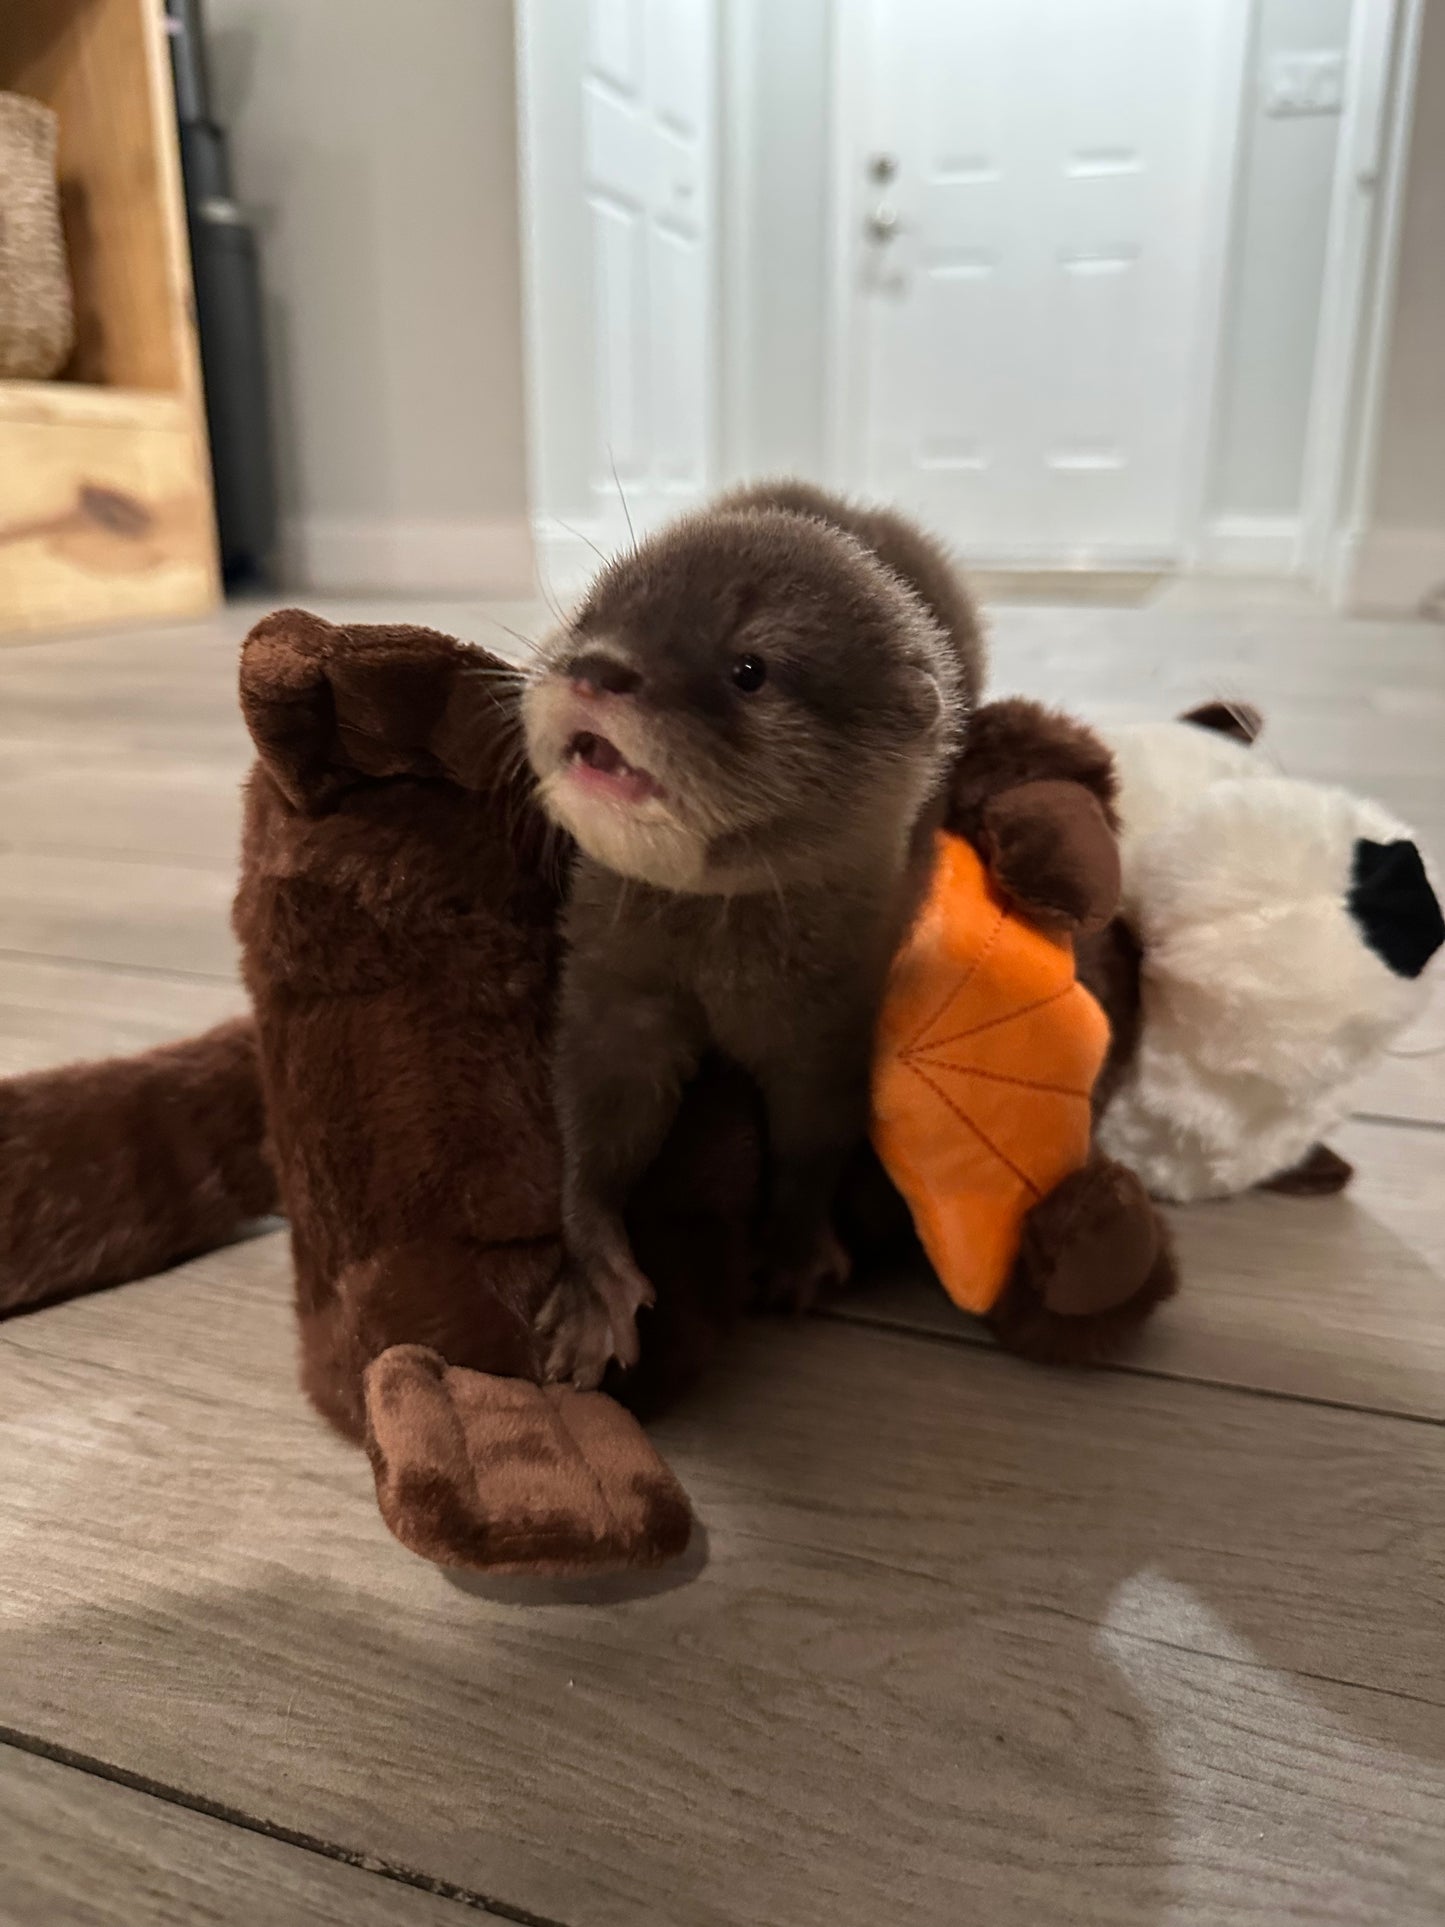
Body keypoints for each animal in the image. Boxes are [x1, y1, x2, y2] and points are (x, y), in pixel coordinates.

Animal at [521, 481, 985, 1388]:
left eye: (748, 670)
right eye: (592, 613)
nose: (595, 668)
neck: (719, 970)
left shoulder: (829, 1022)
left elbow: (815, 1138)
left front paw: (793, 1252)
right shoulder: (614, 989)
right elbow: (590, 1116)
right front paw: (593, 1285)